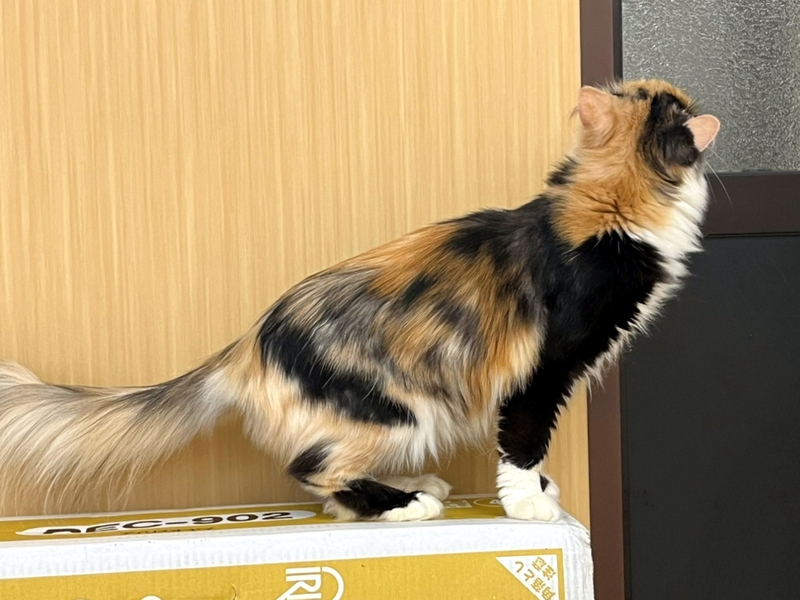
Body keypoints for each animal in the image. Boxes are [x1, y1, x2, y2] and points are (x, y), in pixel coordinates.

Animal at [0, 79, 719, 522]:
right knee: (315, 472)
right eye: (680, 112)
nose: (701, 108)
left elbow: (522, 445)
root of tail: (244, 347)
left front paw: (536, 491)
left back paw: (413, 488)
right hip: (399, 410)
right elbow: (522, 441)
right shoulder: (542, 370)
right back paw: (407, 505)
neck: (609, 204)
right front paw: (529, 503)